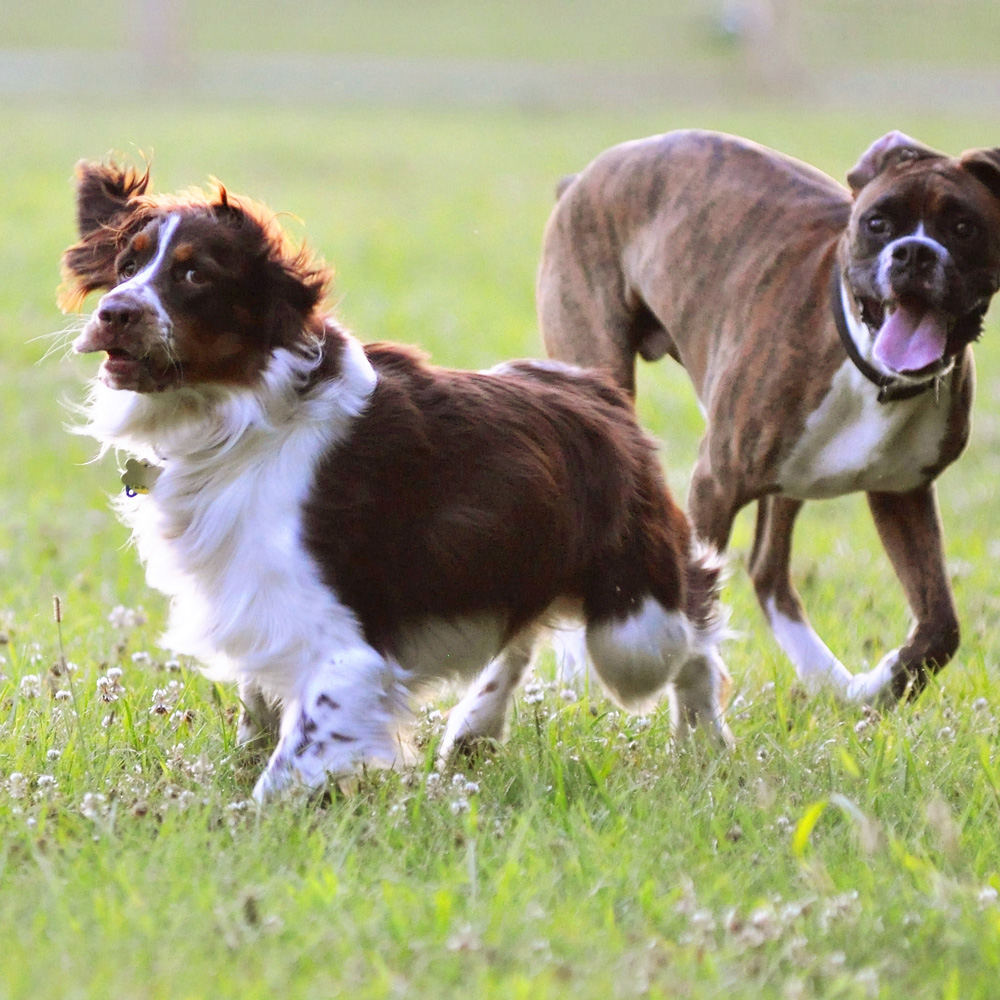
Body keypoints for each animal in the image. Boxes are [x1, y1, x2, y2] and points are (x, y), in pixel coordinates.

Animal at [64, 164, 736, 804]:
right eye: (126, 266)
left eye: (195, 274)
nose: (114, 313)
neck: (241, 417)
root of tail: (598, 389)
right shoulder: (255, 603)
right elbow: (257, 712)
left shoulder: (346, 653)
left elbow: (282, 771)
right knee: (523, 634)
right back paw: (474, 731)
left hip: (633, 629)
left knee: (693, 635)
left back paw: (705, 743)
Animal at [540, 129, 1000, 704]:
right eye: (878, 223)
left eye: (964, 227)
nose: (914, 252)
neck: (872, 377)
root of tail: (582, 179)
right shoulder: (714, 486)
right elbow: (696, 602)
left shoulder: (902, 494)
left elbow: (941, 626)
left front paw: (881, 686)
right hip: (602, 372)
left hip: (791, 483)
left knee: (768, 573)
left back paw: (833, 682)